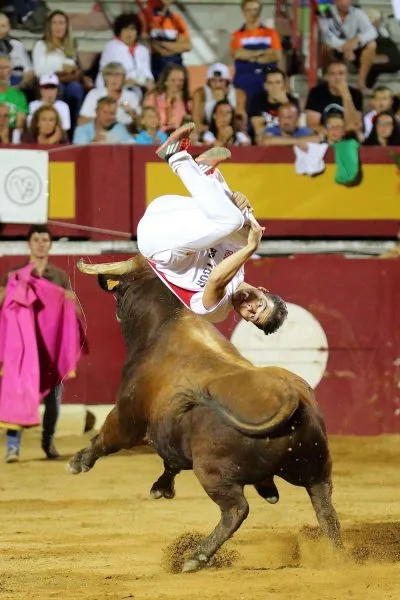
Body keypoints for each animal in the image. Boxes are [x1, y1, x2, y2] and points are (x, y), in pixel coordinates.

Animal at [68, 254, 340, 572]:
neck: (163, 324)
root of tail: (291, 397)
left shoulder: (126, 417)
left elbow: (105, 439)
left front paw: (78, 462)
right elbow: (170, 461)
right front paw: (161, 487)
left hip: (212, 471)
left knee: (236, 509)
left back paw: (195, 557)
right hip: (314, 468)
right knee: (325, 508)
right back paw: (335, 554)